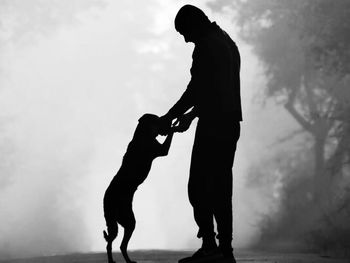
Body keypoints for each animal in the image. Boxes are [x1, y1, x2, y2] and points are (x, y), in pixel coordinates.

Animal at [104, 114, 175, 263]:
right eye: (157, 119)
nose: (167, 119)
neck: (143, 134)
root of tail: (106, 199)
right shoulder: (161, 150)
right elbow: (168, 140)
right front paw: (174, 126)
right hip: (128, 221)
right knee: (120, 245)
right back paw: (124, 260)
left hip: (116, 221)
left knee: (112, 243)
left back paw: (117, 260)